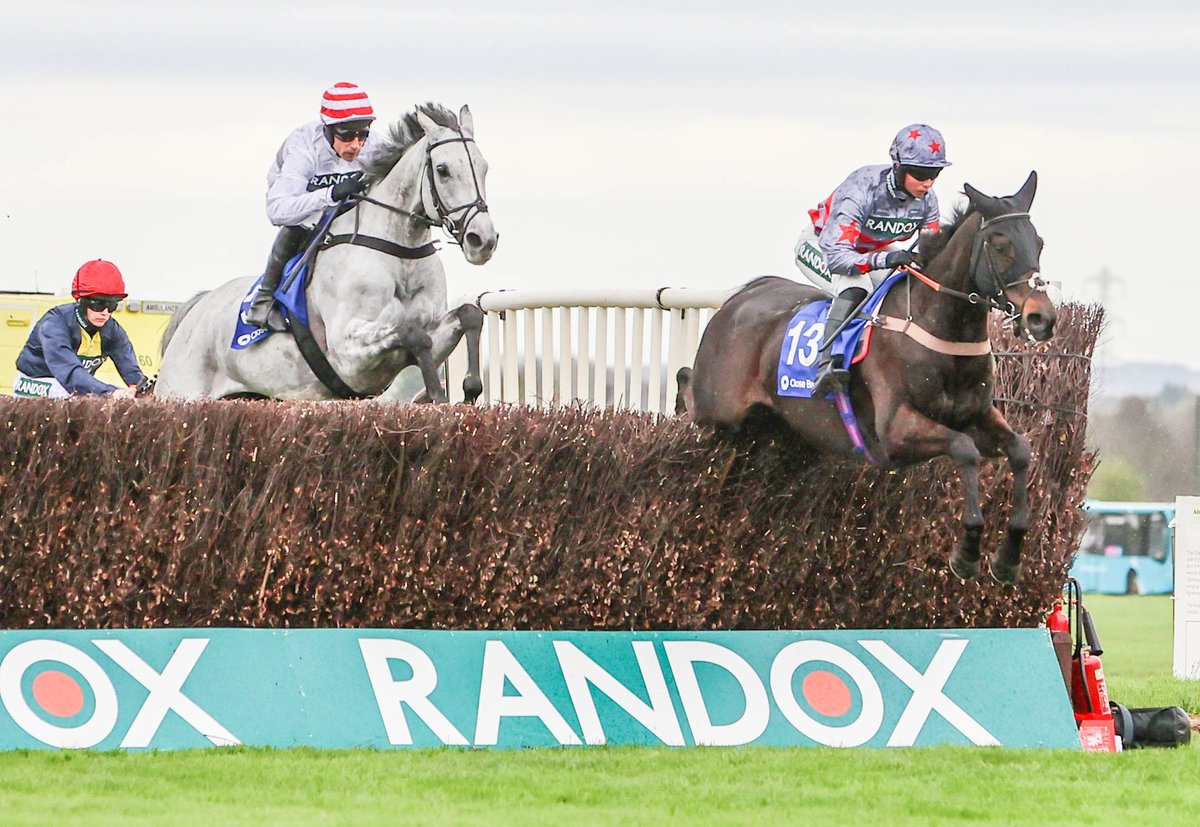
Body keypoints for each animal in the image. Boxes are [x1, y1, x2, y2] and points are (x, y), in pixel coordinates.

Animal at [681, 170, 1056, 583]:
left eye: (1038, 242)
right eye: (1001, 244)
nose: (1042, 318)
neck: (938, 329)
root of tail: (738, 299)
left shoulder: (977, 415)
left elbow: (1020, 450)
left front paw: (1008, 557)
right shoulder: (895, 431)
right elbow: (964, 449)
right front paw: (968, 552)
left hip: (781, 435)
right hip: (720, 412)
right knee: (690, 393)